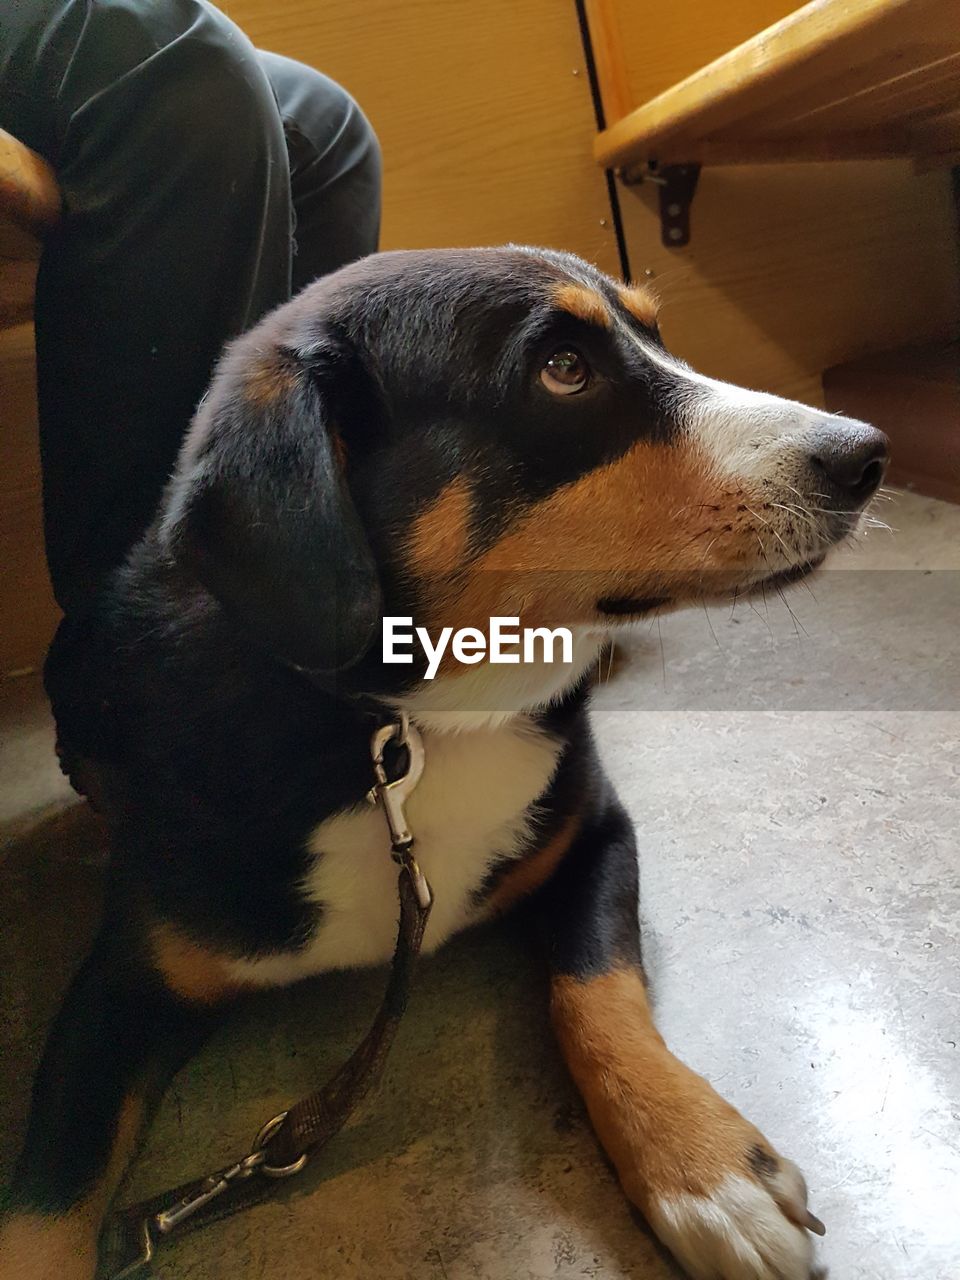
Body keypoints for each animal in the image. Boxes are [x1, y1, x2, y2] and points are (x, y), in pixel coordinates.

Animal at [0, 249, 890, 1280]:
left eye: (655, 336)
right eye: (563, 368)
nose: (867, 453)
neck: (410, 729)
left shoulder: (594, 833)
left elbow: (596, 990)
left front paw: (702, 1166)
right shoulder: (122, 985)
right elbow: (42, 1210)